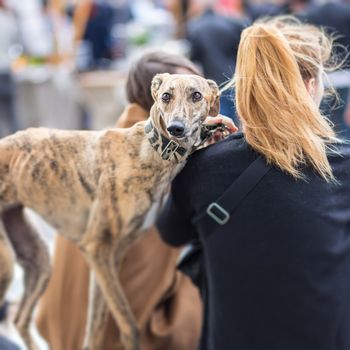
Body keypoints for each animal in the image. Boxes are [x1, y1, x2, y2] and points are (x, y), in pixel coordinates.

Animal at [0, 72, 224, 348]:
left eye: (196, 95)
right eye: (166, 96)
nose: (176, 128)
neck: (149, 150)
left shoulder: (111, 256)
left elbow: (96, 329)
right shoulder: (97, 247)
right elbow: (129, 326)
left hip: (38, 259)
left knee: (21, 318)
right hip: (6, 264)